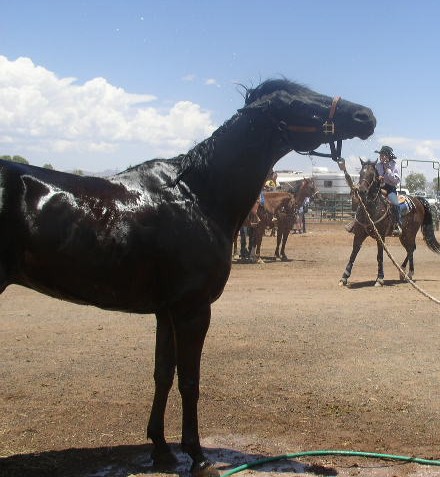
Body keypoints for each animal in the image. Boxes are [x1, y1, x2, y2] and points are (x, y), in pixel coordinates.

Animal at [0, 78, 374, 476]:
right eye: (300, 103)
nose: (365, 116)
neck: (196, 195)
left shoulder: (166, 312)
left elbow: (163, 374)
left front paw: (162, 449)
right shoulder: (192, 310)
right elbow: (189, 381)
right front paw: (198, 456)